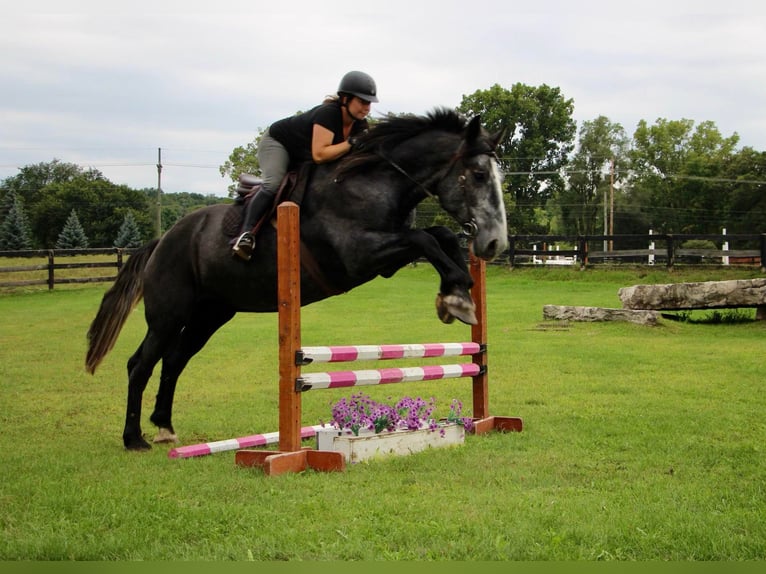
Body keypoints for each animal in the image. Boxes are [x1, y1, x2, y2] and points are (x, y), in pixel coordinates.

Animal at [85, 107, 510, 450]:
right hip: (168, 315)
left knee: (174, 360)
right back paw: (134, 438)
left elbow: (440, 237)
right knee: (140, 364)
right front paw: (457, 298)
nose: (494, 243)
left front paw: (457, 293)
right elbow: (426, 238)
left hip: (211, 315)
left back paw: (164, 427)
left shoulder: (387, 255)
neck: (372, 182)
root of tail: (163, 240)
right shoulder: (360, 256)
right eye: (477, 174)